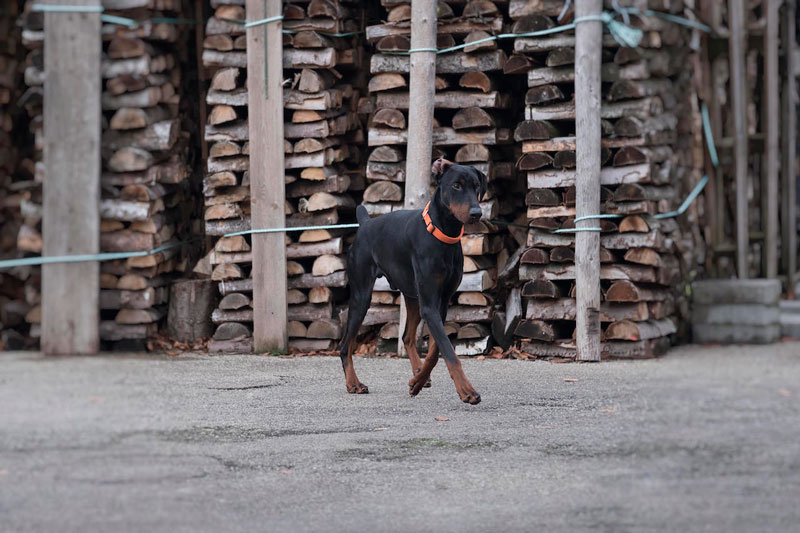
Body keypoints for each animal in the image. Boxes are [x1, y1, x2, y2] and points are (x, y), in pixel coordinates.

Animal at [338, 158, 487, 404]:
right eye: (456, 186)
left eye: (477, 187)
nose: (476, 212)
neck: (442, 235)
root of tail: (366, 223)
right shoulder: (430, 305)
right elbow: (449, 352)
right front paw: (467, 390)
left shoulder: (441, 303)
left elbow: (437, 350)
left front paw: (417, 381)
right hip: (362, 296)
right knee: (344, 345)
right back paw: (353, 383)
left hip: (412, 296)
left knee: (407, 336)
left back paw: (418, 374)